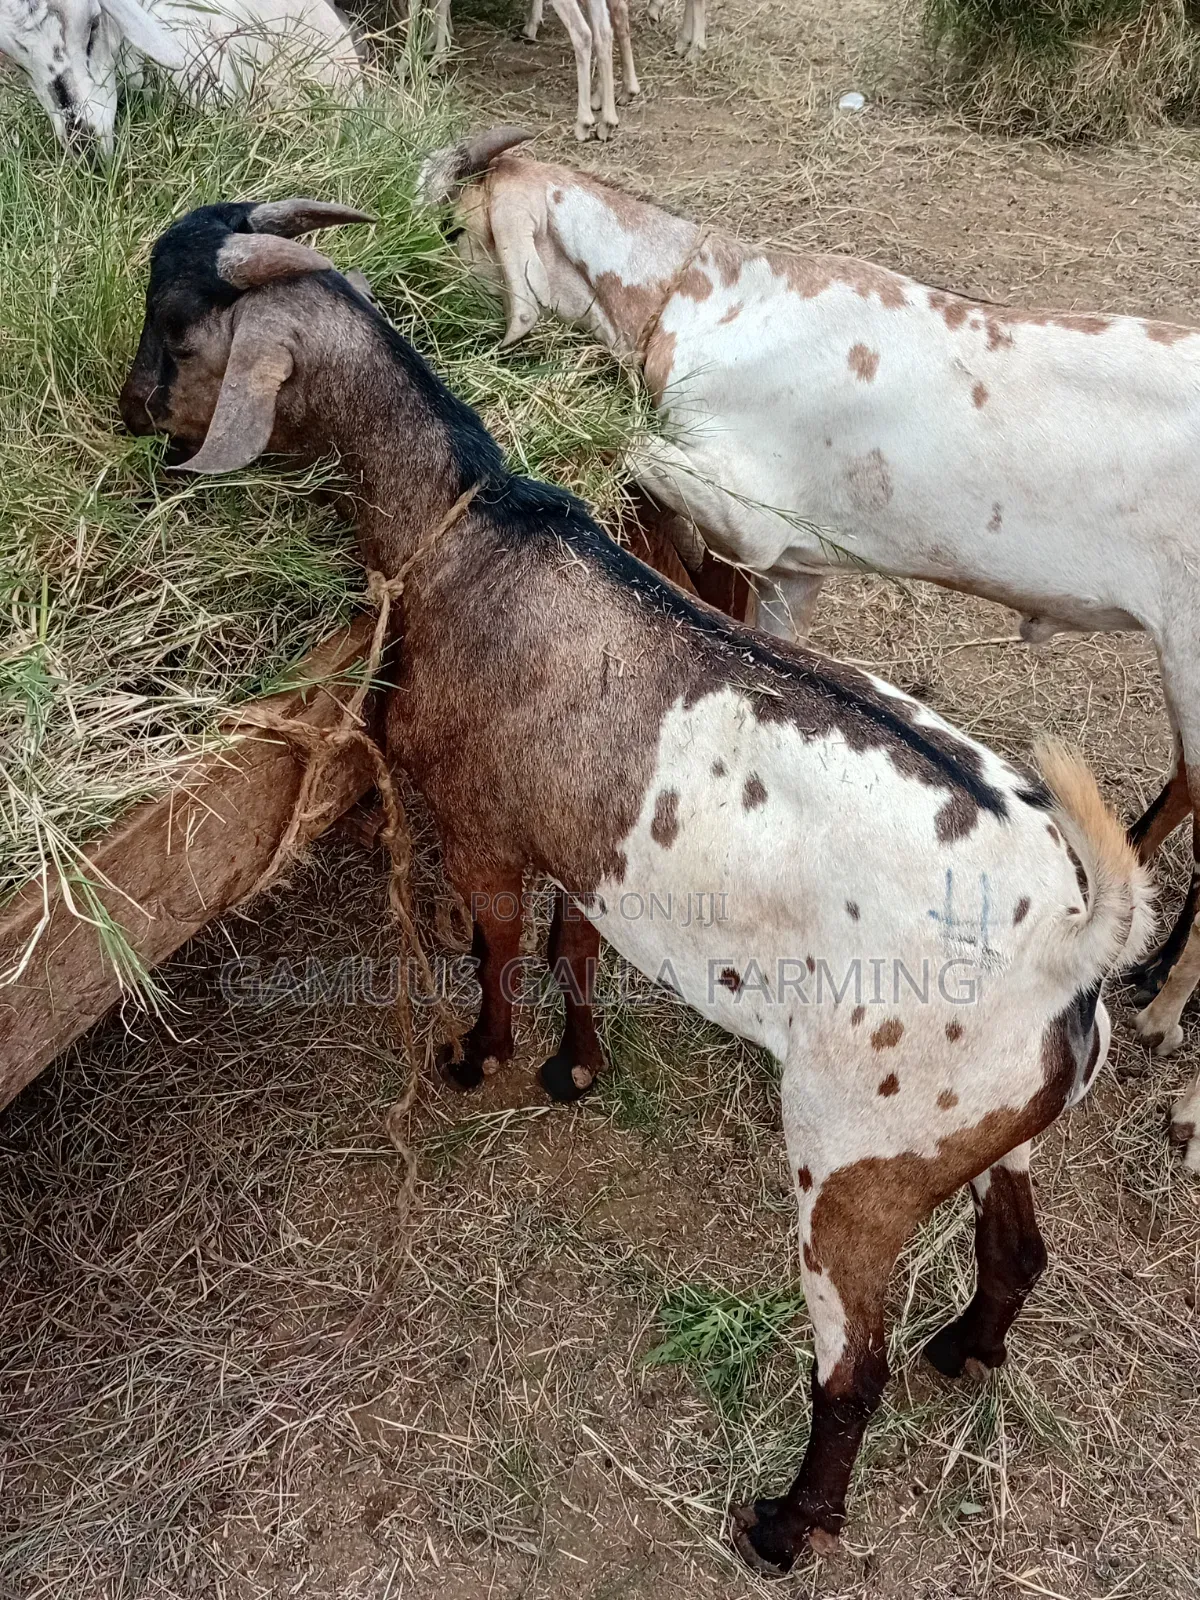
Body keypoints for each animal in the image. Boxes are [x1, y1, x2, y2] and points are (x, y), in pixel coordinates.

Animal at [120, 195, 1152, 1568]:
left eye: (177, 331)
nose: (125, 409)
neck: (477, 530)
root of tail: (1076, 945)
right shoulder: (588, 853)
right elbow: (575, 949)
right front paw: (576, 1066)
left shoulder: (485, 828)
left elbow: (500, 948)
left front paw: (480, 1056)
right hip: (995, 1125)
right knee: (1017, 1249)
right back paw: (966, 1353)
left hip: (857, 1153)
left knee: (852, 1366)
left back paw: (787, 1523)